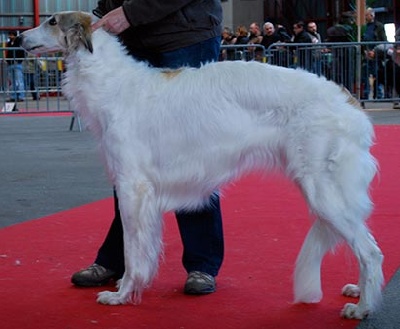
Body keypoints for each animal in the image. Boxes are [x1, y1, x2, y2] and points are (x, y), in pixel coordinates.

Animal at [19, 12, 384, 318]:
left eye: (52, 21)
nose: (19, 38)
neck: (114, 84)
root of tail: (348, 99)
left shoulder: (132, 187)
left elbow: (133, 251)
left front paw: (122, 295)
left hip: (324, 190)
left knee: (370, 251)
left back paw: (363, 307)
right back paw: (358, 290)